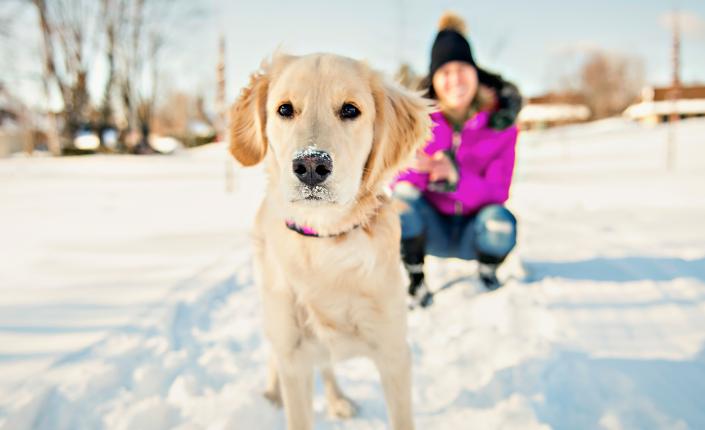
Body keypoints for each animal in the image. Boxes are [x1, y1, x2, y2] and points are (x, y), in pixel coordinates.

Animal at [230, 52, 428, 428]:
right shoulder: (294, 359)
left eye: (350, 110)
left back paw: (337, 401)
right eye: (285, 109)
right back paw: (272, 392)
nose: (310, 164)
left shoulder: (395, 353)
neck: (325, 243)